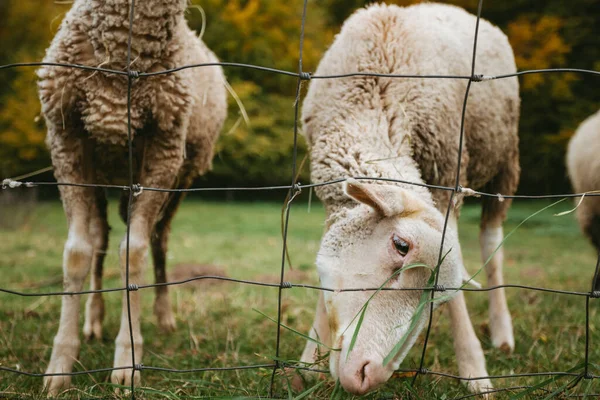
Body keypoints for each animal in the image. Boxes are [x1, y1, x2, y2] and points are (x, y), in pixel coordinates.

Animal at [37, 0, 227, 394]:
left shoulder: (164, 148)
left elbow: (134, 253)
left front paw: (127, 361)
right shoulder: (66, 140)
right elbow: (76, 254)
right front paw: (59, 365)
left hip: (180, 176)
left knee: (158, 240)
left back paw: (164, 314)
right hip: (102, 168)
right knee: (100, 238)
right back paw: (93, 319)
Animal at [300, 3, 520, 396]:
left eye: (439, 299)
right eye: (401, 246)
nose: (369, 376)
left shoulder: (449, 176)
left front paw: (474, 370)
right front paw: (310, 358)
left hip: (505, 161)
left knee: (492, 245)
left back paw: (502, 332)